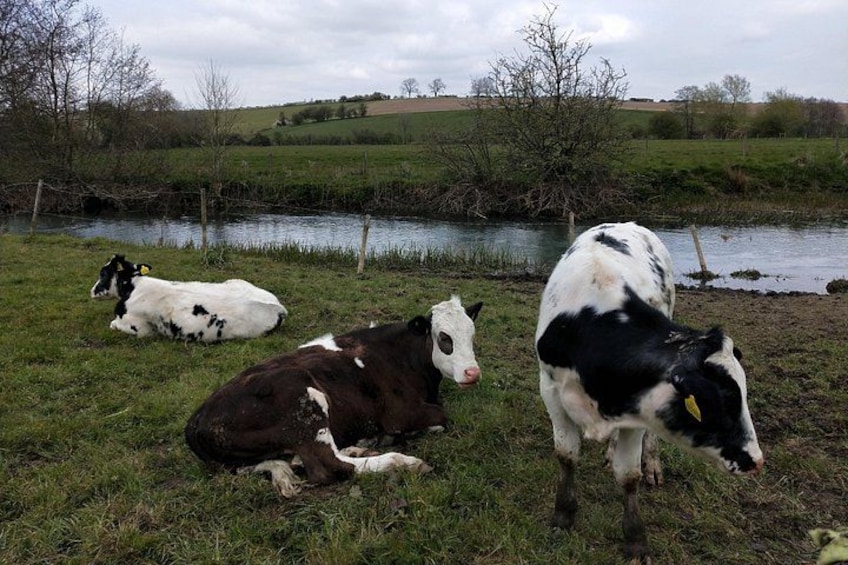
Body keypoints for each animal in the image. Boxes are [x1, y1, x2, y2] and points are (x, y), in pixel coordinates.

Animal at [90, 254, 287, 342]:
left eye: (103, 273)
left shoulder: (139, 329)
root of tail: (280, 308)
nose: (91, 291)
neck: (134, 286)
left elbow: (113, 324)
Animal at [184, 296, 483, 497]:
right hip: (302, 400)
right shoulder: (401, 414)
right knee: (327, 465)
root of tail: (196, 421)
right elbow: (442, 418)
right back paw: (402, 461)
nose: (472, 372)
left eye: (472, 335)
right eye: (444, 338)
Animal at [535, 222, 764, 561]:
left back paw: (650, 463)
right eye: (721, 402)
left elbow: (629, 476)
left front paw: (635, 540)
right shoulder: (550, 389)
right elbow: (566, 455)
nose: (756, 461)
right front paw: (563, 516)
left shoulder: (636, 411)